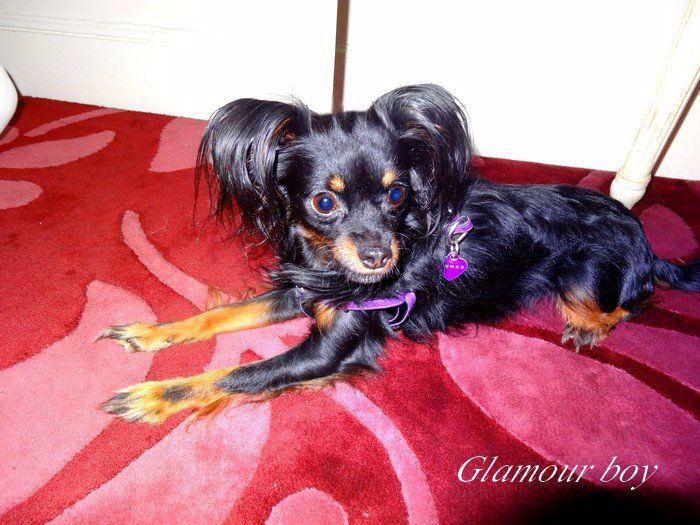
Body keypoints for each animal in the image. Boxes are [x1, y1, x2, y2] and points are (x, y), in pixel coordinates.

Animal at [99, 84, 699, 423]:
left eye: (396, 195)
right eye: (324, 202)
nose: (376, 259)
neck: (330, 264)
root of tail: (646, 244)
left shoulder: (329, 351)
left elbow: (238, 375)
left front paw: (154, 395)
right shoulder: (303, 291)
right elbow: (219, 315)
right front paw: (151, 333)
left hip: (583, 276)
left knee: (629, 304)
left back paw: (589, 327)